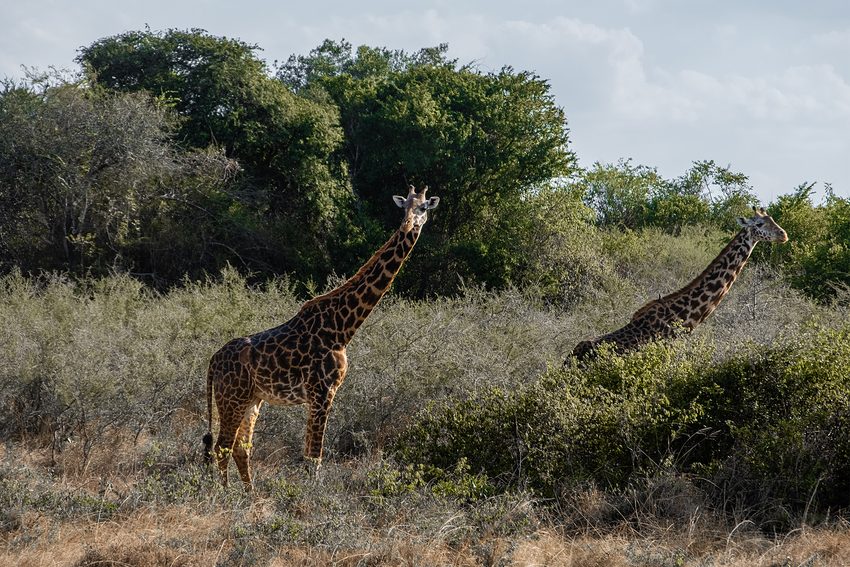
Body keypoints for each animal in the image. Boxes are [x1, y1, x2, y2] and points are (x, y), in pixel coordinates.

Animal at [203, 185, 439, 489]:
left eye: (422, 207)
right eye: (405, 207)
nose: (409, 224)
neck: (343, 327)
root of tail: (213, 360)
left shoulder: (318, 395)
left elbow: (309, 458)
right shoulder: (323, 391)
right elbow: (313, 460)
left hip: (251, 400)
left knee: (241, 449)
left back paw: (249, 495)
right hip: (232, 398)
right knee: (222, 446)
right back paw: (225, 494)